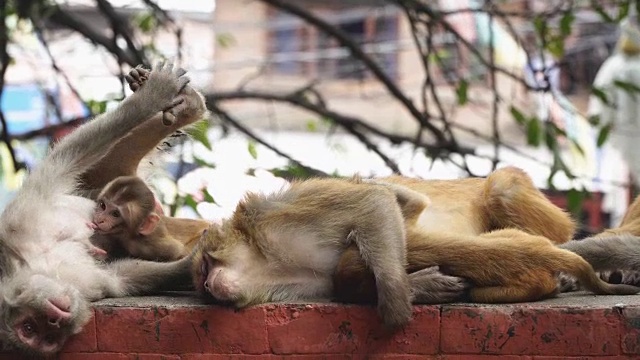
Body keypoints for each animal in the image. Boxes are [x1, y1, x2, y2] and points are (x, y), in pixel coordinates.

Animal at [190, 177, 412, 330]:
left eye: (205, 267)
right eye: (205, 289)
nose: (208, 284)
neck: (265, 260)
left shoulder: (274, 223)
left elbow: (373, 201)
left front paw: (395, 302)